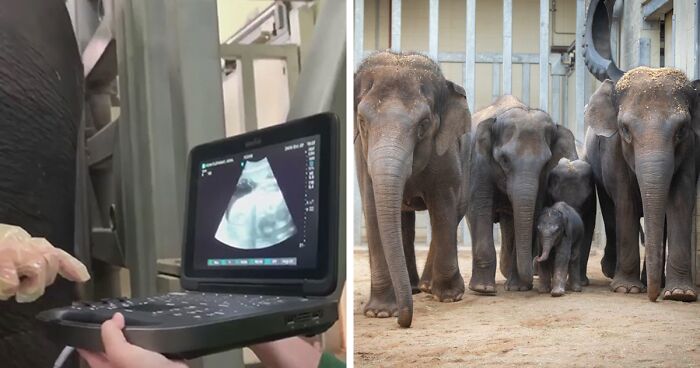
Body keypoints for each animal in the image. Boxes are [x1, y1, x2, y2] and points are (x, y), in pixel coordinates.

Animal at [356, 49, 470, 328]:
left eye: (424, 124)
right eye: (362, 121)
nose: (404, 322)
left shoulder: (446, 150)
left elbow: (443, 204)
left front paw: (449, 296)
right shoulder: (361, 154)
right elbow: (372, 208)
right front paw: (380, 312)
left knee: (451, 213)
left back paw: (427, 288)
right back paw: (415, 288)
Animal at [468, 95, 576, 294]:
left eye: (546, 162)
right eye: (504, 160)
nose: (535, 269)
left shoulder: (542, 180)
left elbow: (533, 212)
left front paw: (518, 288)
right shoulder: (478, 163)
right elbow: (480, 208)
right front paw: (483, 289)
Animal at [584, 67, 700, 302]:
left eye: (681, 130)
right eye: (625, 130)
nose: (653, 298)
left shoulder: (691, 148)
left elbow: (680, 201)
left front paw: (680, 294)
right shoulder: (614, 150)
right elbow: (625, 201)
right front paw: (626, 289)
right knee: (610, 209)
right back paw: (613, 272)